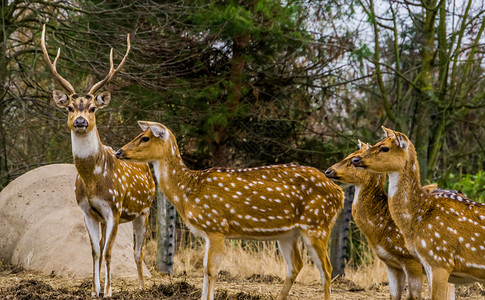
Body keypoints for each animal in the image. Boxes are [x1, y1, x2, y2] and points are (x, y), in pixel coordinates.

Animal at [41, 24, 156, 296]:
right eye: (69, 108)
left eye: (93, 108)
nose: (80, 121)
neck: (93, 180)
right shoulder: (88, 211)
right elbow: (95, 251)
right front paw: (95, 290)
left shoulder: (114, 208)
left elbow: (110, 252)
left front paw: (110, 290)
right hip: (110, 218)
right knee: (106, 247)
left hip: (144, 211)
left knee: (138, 252)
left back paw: (142, 287)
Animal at [116, 120, 344, 300]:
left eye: (145, 138)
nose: (119, 152)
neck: (188, 191)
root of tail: (339, 193)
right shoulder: (208, 232)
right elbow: (205, 270)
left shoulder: (216, 226)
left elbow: (212, 270)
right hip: (289, 234)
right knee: (295, 266)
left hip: (317, 224)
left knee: (327, 269)